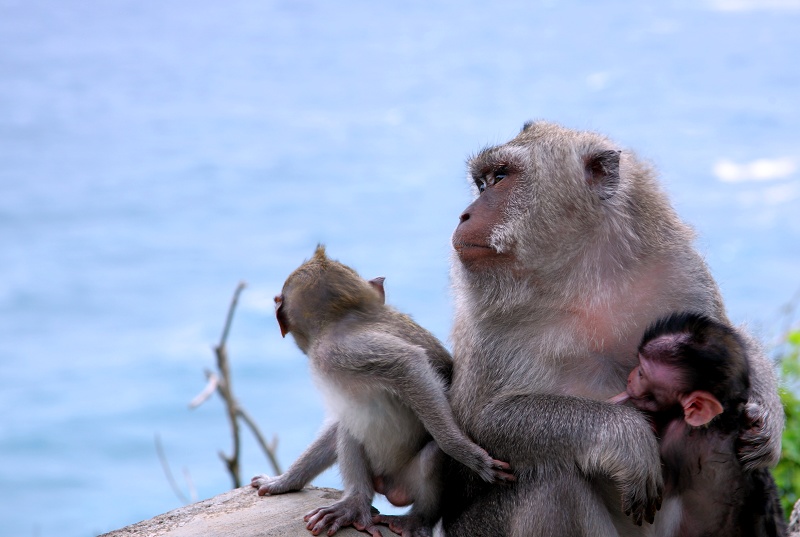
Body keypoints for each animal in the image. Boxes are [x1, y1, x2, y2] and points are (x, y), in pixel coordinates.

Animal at [252, 246, 512, 536]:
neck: (345, 314)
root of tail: (391, 486)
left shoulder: (335, 350)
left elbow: (409, 365)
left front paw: (466, 453)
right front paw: (285, 481)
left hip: (409, 478)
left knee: (428, 455)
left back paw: (399, 514)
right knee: (350, 424)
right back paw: (357, 501)